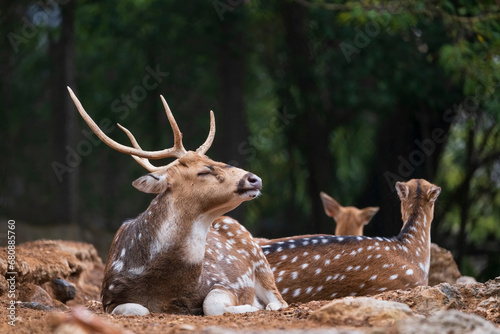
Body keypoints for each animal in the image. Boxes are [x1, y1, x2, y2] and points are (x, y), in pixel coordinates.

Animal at [67, 87, 288, 316]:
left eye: (214, 159)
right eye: (203, 171)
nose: (255, 179)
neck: (165, 288)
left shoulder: (222, 281)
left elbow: (211, 305)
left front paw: (249, 306)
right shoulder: (108, 296)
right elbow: (139, 309)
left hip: (259, 258)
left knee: (280, 301)